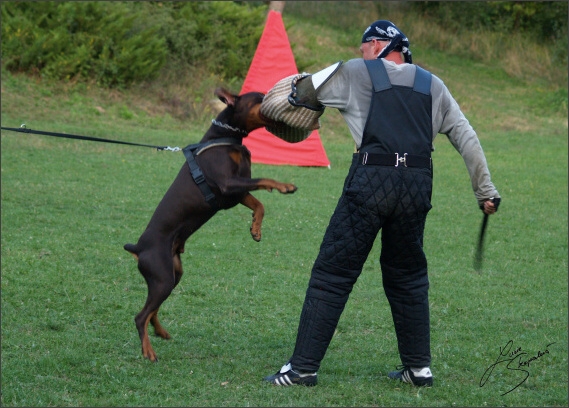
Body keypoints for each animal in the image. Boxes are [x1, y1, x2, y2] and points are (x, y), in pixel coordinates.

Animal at [124, 87, 298, 362]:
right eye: (260, 97)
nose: (289, 98)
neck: (228, 136)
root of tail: (138, 248)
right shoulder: (228, 184)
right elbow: (265, 179)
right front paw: (285, 186)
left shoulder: (237, 192)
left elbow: (259, 204)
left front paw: (256, 229)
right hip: (162, 277)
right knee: (141, 316)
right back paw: (148, 351)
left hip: (173, 275)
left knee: (152, 311)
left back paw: (160, 332)